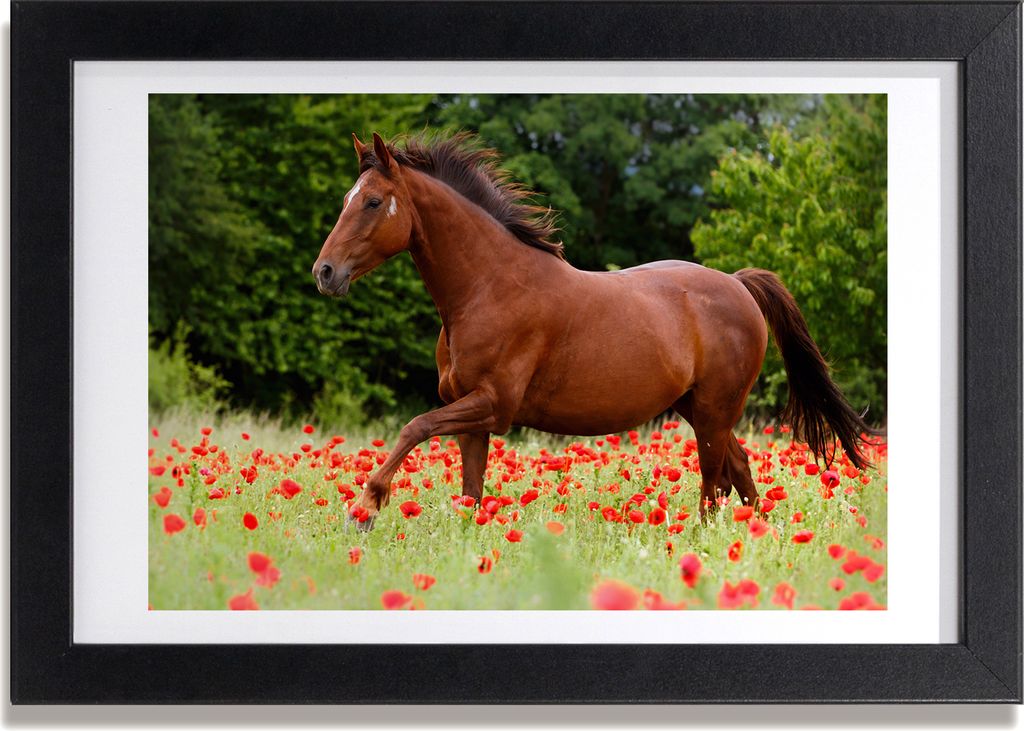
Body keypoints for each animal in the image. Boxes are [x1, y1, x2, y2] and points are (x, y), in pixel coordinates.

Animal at [312, 131, 874, 529]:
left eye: (371, 202)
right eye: (345, 199)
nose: (325, 273)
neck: (489, 287)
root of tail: (738, 284)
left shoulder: (493, 405)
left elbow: (415, 426)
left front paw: (365, 509)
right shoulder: (471, 416)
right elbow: (470, 492)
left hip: (715, 411)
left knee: (713, 483)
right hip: (700, 409)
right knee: (738, 470)